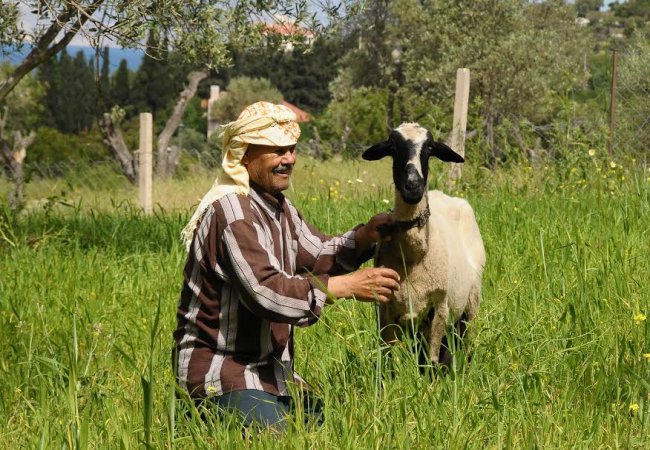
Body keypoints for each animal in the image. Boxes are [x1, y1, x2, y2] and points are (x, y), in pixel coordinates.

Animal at [362, 122, 484, 366]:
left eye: (429, 148)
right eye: (392, 146)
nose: (413, 185)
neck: (414, 255)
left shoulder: (439, 307)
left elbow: (430, 363)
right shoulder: (385, 310)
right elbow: (388, 361)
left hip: (470, 305)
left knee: (463, 344)